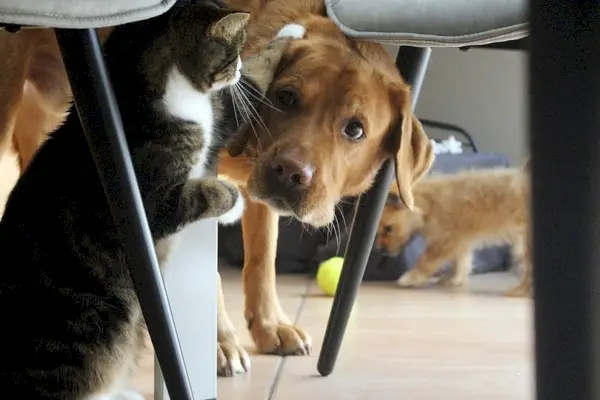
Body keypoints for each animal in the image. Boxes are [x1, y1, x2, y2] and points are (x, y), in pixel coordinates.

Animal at [0, 0, 298, 396]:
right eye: (232, 53)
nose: (235, 69)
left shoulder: (216, 128)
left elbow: (252, 84)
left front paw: (290, 35)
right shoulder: (152, 201)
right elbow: (202, 192)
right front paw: (233, 201)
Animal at [214, 0, 432, 376]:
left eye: (355, 129)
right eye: (285, 97)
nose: (289, 172)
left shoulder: (260, 200)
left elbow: (262, 259)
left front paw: (270, 326)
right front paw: (218, 343)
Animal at [378, 163, 532, 296]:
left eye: (388, 228)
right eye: (377, 233)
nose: (381, 251)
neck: (429, 205)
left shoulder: (444, 241)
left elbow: (425, 260)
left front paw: (411, 277)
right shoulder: (459, 242)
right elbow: (460, 262)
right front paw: (454, 279)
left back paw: (520, 291)